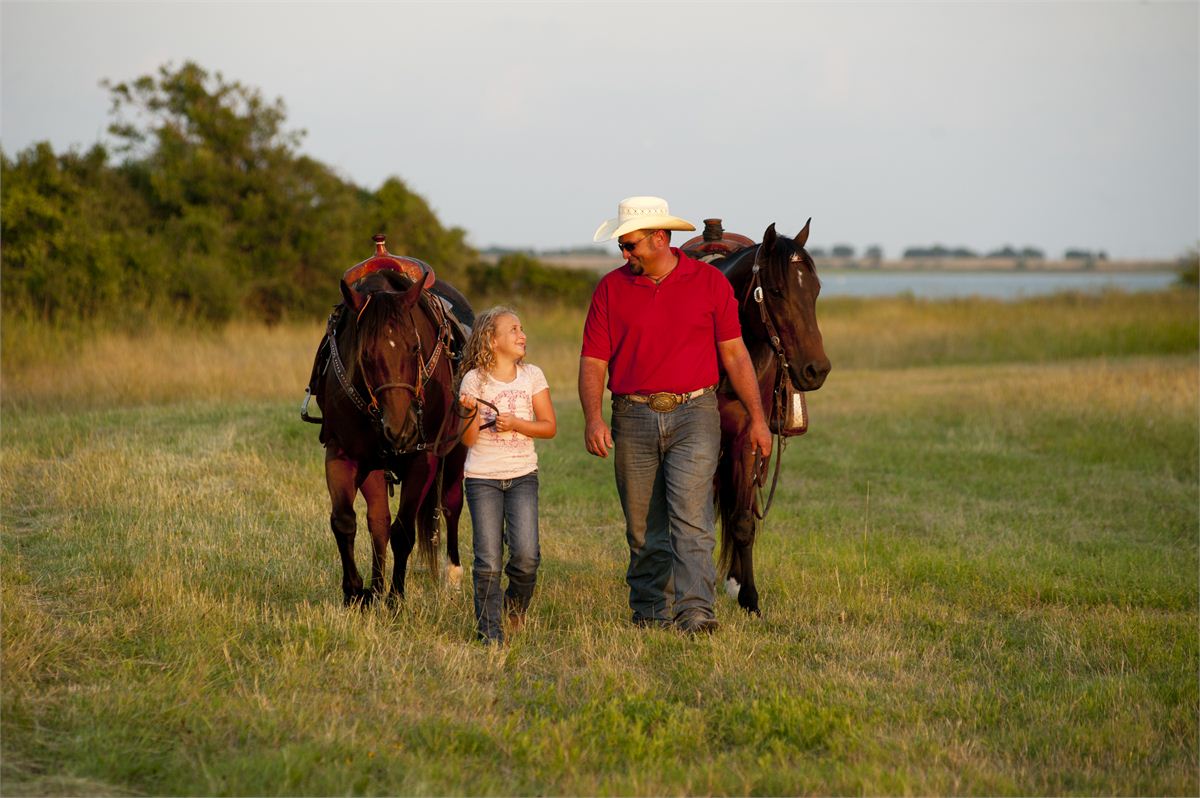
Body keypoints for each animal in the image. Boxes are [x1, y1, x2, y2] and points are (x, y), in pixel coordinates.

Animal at [700, 220, 825, 612]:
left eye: (815, 290)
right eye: (776, 291)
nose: (817, 370)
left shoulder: (747, 440)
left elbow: (742, 521)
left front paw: (749, 597)